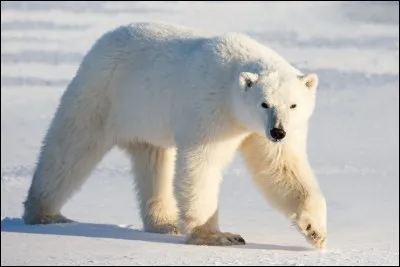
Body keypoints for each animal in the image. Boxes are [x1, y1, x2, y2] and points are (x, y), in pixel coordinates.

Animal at [22, 22, 324, 249]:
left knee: (153, 162)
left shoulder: (261, 130)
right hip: (102, 92)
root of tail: (103, 40)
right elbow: (201, 165)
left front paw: (315, 230)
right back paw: (44, 213)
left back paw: (164, 223)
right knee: (71, 147)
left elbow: (282, 168)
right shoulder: (211, 108)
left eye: (293, 105)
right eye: (264, 103)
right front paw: (217, 235)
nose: (278, 131)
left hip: (144, 119)